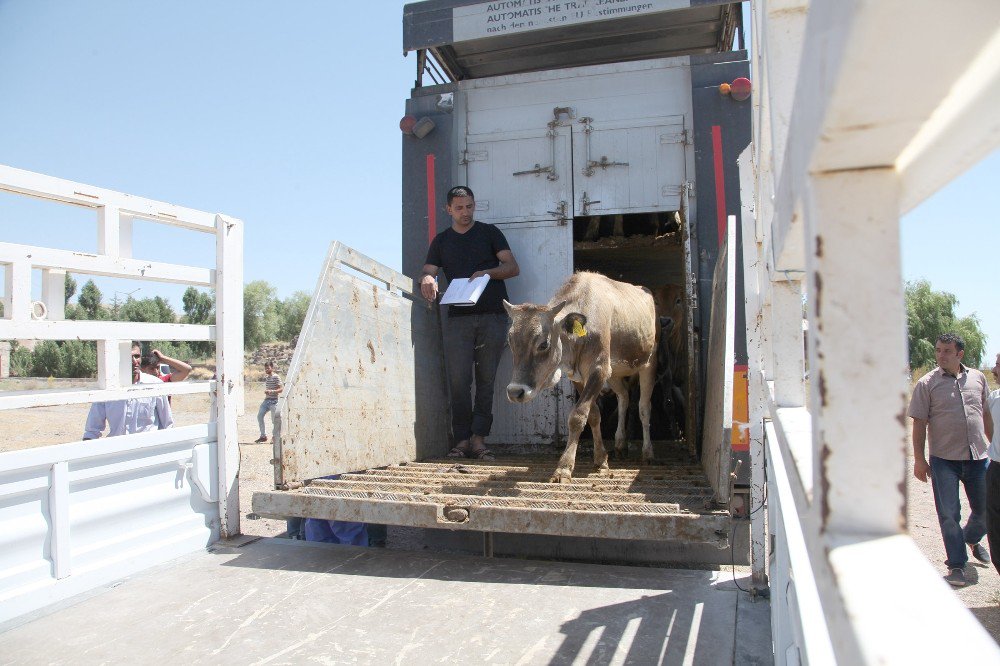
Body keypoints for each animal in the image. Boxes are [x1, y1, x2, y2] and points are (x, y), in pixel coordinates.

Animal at [504, 270, 660, 482]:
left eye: (544, 344)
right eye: (510, 341)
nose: (515, 392)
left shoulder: (599, 369)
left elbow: (578, 416)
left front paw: (564, 468)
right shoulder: (578, 376)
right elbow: (593, 415)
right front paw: (601, 460)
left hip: (649, 363)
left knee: (644, 408)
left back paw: (648, 453)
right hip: (615, 373)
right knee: (623, 398)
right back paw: (620, 444)